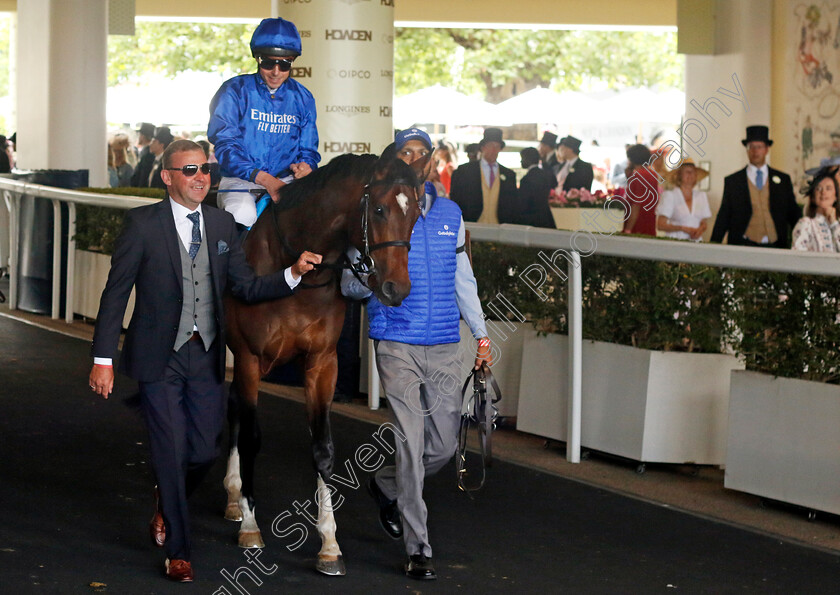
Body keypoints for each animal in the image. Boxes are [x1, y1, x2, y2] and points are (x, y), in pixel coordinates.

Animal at [221, 150, 424, 576]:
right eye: (379, 209)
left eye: (416, 212)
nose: (397, 288)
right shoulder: (249, 358)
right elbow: (251, 437)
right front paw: (251, 526)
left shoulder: (322, 363)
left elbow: (323, 449)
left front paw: (329, 544)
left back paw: (232, 496)